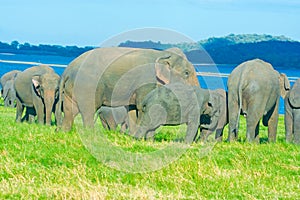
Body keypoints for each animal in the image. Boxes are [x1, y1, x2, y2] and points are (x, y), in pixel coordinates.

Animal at [55, 46, 200, 132]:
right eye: (186, 73)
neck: (163, 54)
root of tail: (67, 71)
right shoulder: (146, 81)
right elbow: (142, 107)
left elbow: (133, 108)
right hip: (87, 86)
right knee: (89, 110)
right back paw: (91, 135)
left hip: (70, 90)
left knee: (69, 111)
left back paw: (64, 132)